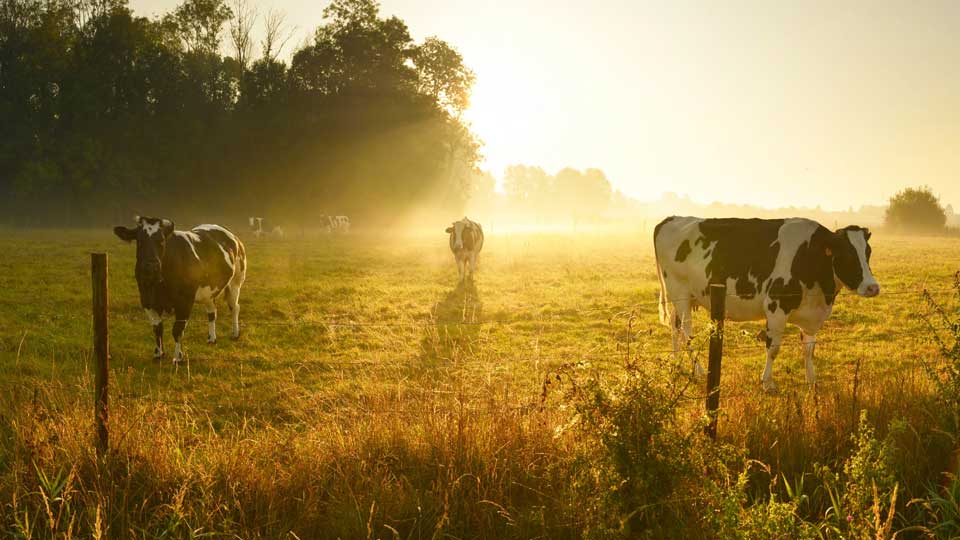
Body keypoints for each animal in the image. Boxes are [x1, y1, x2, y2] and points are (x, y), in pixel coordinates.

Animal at [114, 216, 247, 363]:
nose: (151, 265)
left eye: (162, 241)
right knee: (212, 312)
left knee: (234, 307)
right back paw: (211, 338)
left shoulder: (185, 301)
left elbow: (177, 330)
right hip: (208, 290)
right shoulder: (147, 300)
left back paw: (235, 334)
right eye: (139, 241)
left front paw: (178, 357)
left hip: (237, 280)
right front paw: (158, 354)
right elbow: (157, 328)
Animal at [653, 216, 879, 392]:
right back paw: (699, 370)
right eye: (847, 253)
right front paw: (767, 382)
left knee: (674, 327)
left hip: (683, 297)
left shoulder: (812, 314)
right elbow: (773, 348)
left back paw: (677, 363)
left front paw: (812, 380)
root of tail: (671, 219)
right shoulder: (776, 307)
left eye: (868, 252)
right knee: (686, 331)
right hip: (679, 291)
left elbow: (809, 349)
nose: (872, 287)